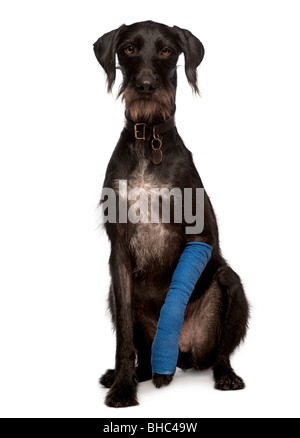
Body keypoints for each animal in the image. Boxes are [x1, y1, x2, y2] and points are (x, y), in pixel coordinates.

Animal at [93, 18, 248, 406]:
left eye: (166, 50)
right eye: (129, 49)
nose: (146, 87)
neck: (150, 141)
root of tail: (182, 354)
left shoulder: (200, 236)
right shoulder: (118, 255)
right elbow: (124, 339)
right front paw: (122, 386)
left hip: (229, 287)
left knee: (221, 352)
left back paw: (223, 375)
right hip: (115, 298)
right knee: (144, 353)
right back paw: (141, 371)